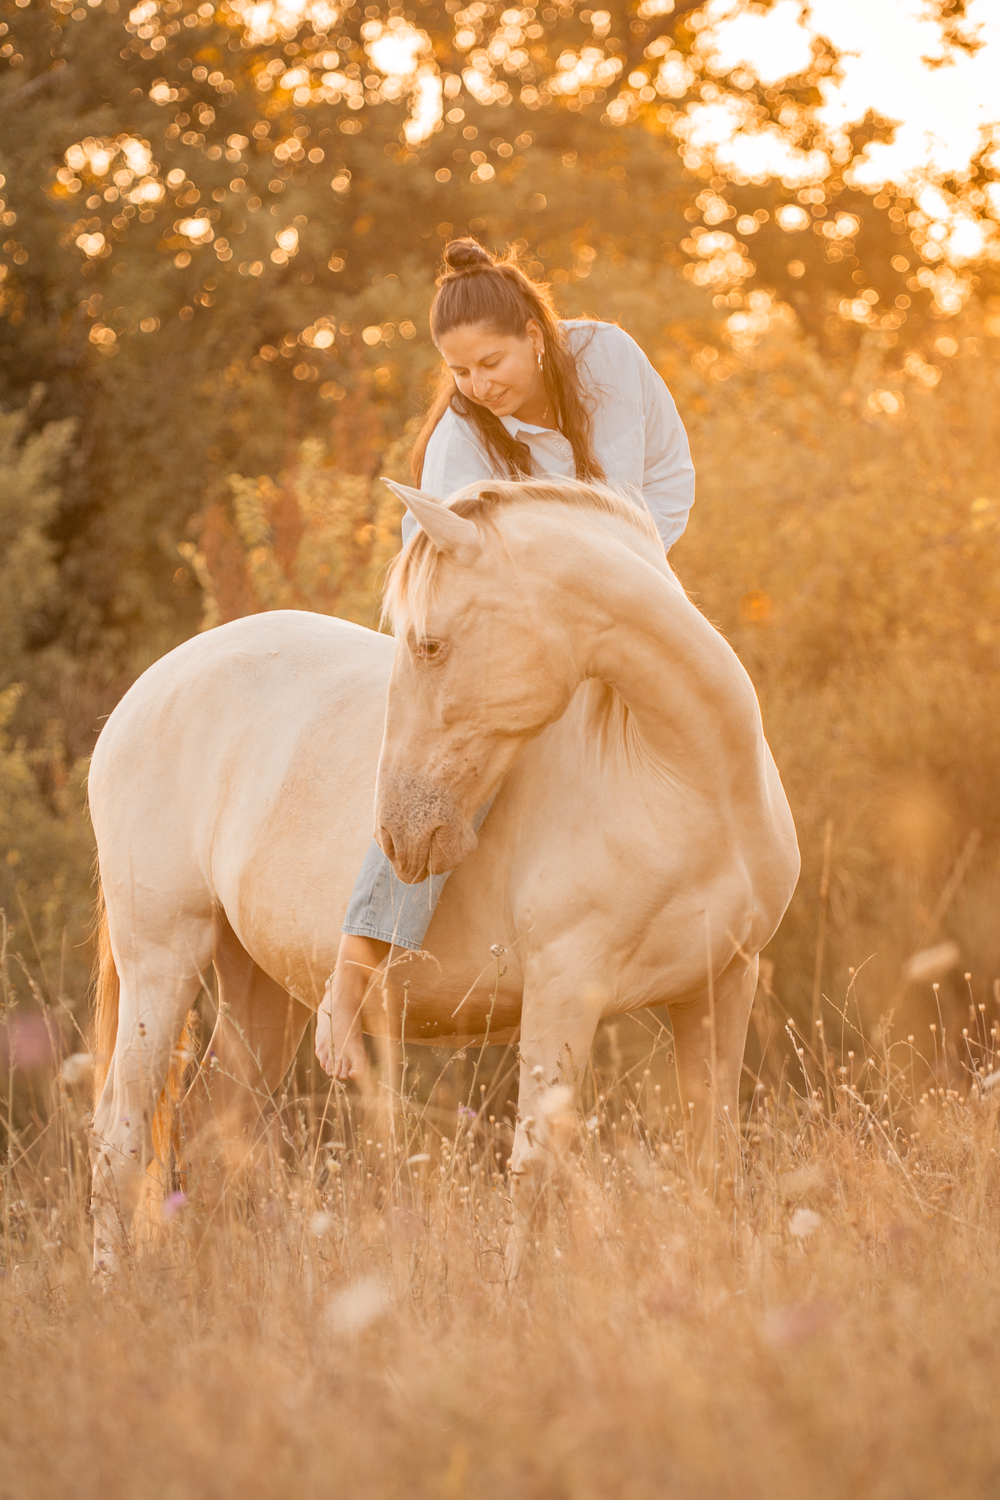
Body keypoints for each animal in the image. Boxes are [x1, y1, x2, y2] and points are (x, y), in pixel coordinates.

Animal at [89, 475, 799, 1272]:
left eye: (429, 644)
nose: (397, 836)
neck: (687, 780)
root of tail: (146, 689)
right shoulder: (564, 990)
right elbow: (535, 1167)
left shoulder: (720, 986)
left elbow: (714, 1161)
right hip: (162, 956)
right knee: (120, 1136)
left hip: (257, 984)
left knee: (217, 1128)